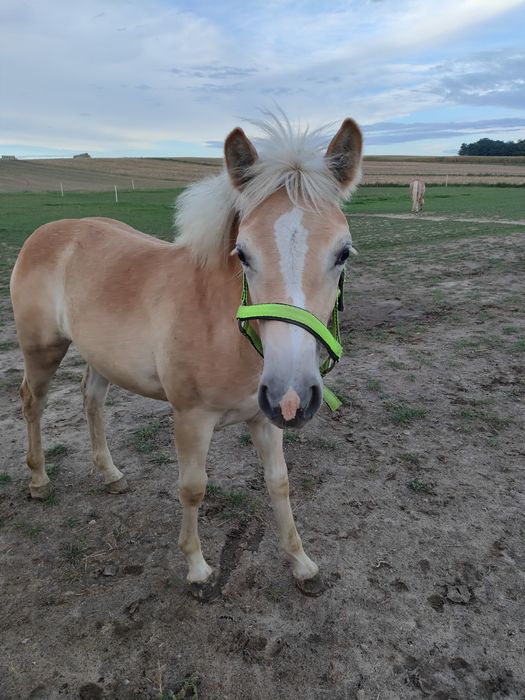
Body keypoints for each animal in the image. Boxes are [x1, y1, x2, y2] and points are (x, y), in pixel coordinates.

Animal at [9, 113, 360, 596]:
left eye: (342, 252)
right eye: (243, 253)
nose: (291, 395)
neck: (222, 325)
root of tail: (45, 233)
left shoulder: (263, 418)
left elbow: (279, 483)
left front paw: (302, 563)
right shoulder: (191, 418)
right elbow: (193, 488)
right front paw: (197, 569)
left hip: (100, 358)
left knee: (91, 400)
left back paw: (110, 474)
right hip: (42, 350)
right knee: (33, 403)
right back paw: (39, 480)